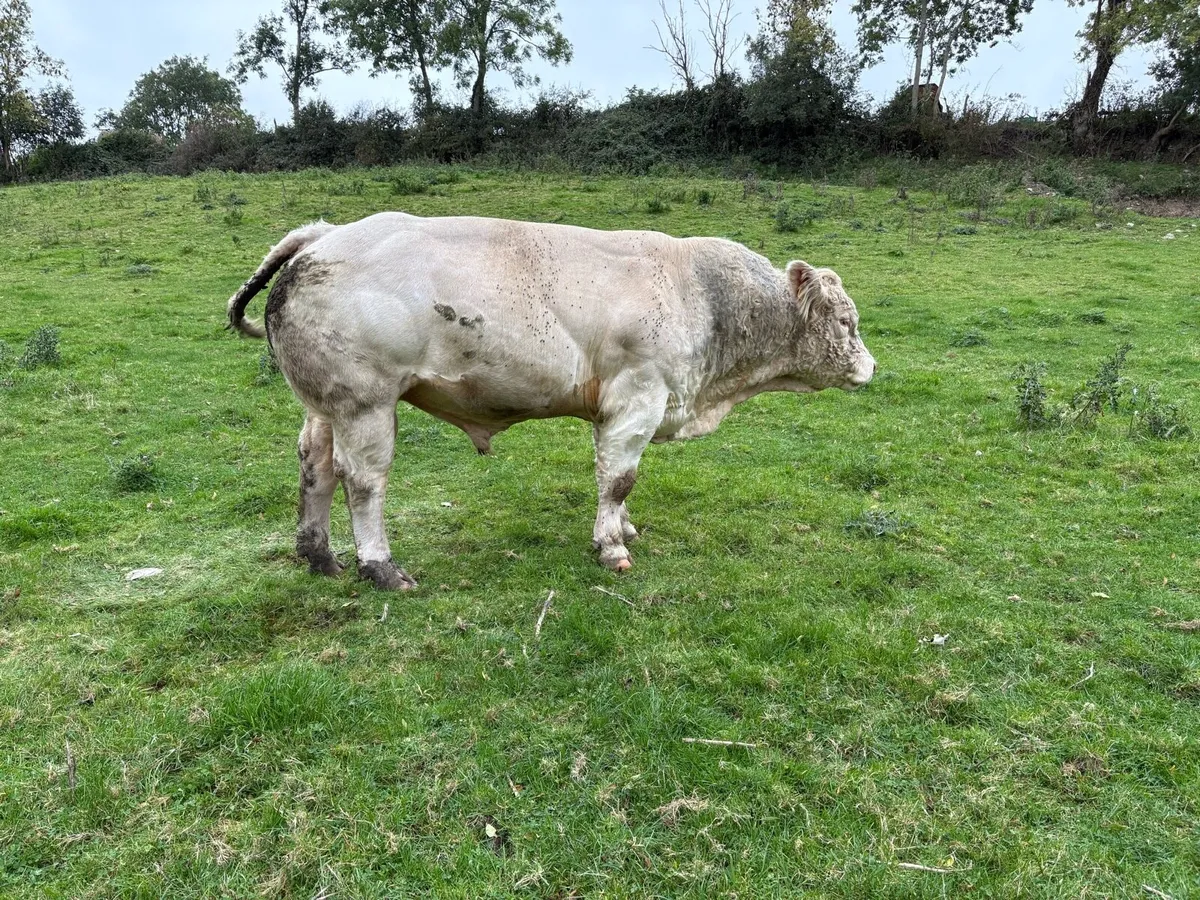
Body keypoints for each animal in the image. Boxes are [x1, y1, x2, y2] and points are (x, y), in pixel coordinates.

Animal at [227, 213, 875, 590]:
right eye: (847, 321)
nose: (871, 368)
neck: (703, 297)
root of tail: (323, 234)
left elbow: (618, 482)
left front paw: (624, 527)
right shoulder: (638, 397)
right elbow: (619, 477)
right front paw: (612, 546)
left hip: (325, 404)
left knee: (314, 466)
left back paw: (319, 556)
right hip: (365, 404)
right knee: (362, 482)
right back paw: (378, 567)